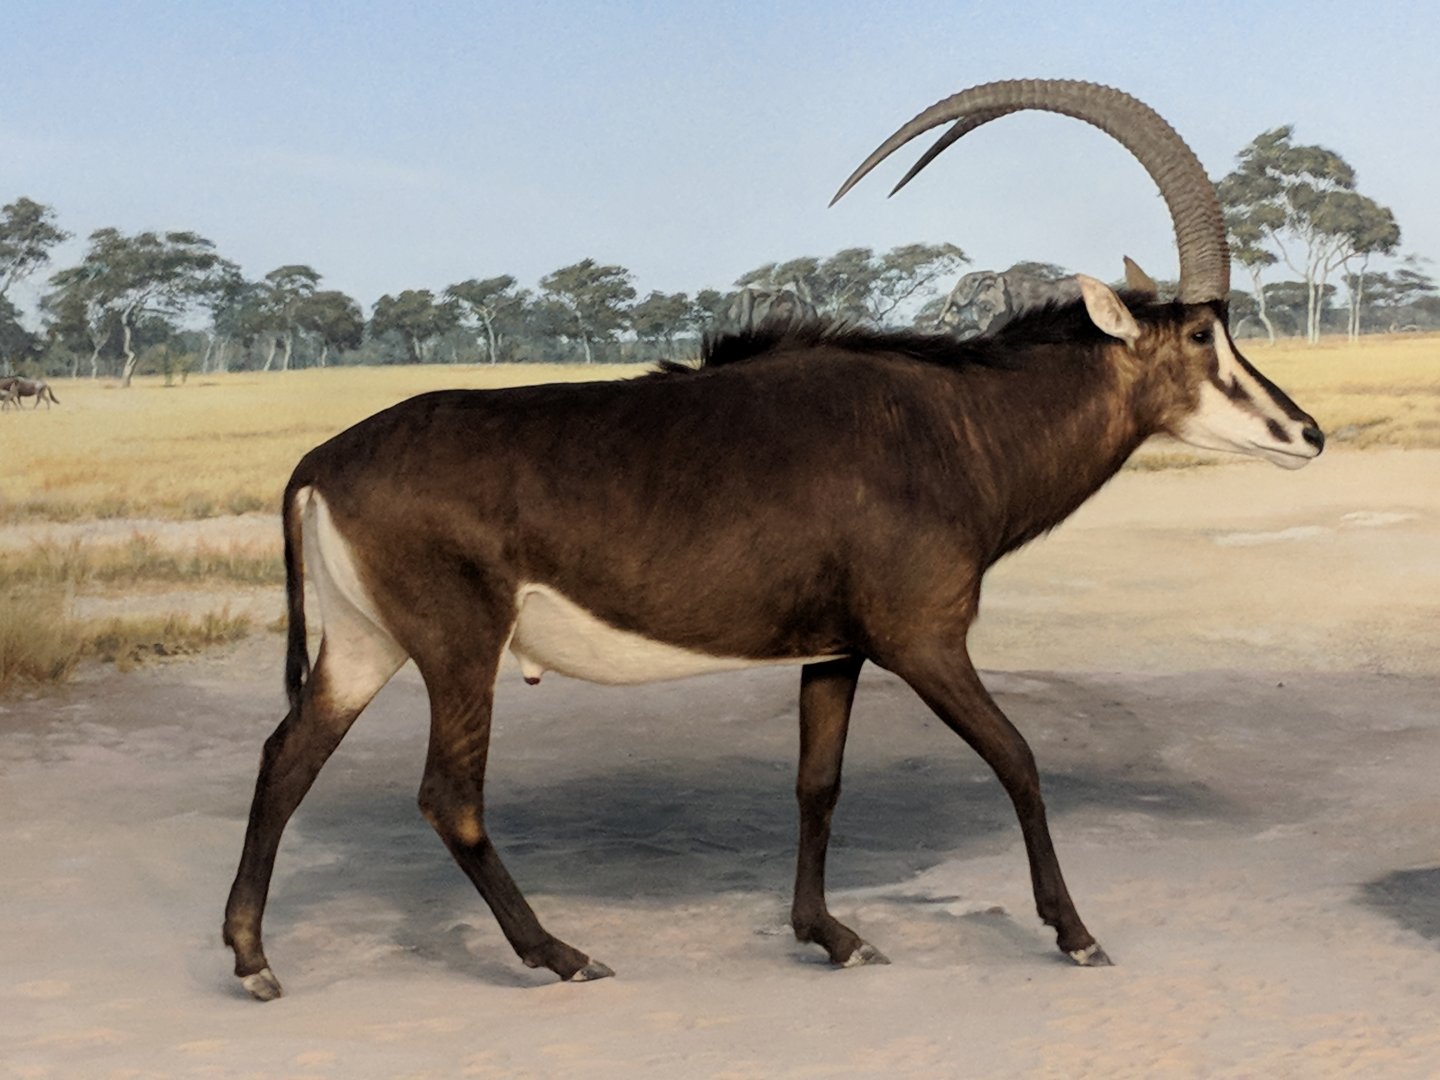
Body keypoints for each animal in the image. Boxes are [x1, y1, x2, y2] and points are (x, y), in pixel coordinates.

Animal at [224, 80, 1324, 1001]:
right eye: (1201, 338)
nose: (1306, 433)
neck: (952, 427)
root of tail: (322, 461)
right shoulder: (924, 640)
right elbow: (1018, 758)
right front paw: (1076, 933)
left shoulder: (835, 650)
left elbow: (816, 783)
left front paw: (831, 935)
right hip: (458, 646)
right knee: (447, 796)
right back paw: (559, 954)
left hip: (364, 645)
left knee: (286, 758)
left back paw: (252, 958)